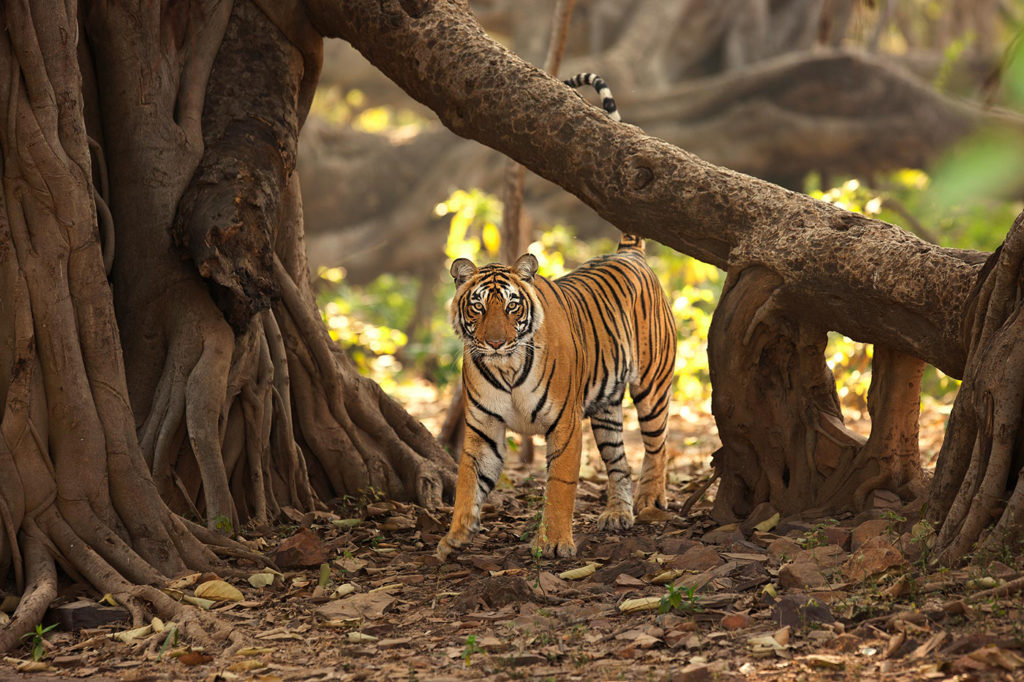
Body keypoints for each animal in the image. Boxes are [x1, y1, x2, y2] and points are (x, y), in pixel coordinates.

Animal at [436, 233, 675, 557]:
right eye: (478, 307)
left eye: (512, 306)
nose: (496, 343)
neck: (507, 368)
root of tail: (629, 254)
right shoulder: (484, 429)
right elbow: (468, 482)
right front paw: (455, 537)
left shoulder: (565, 423)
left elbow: (561, 484)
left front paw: (554, 543)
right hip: (606, 409)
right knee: (619, 462)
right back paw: (617, 514)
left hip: (652, 387)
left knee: (657, 445)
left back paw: (649, 499)